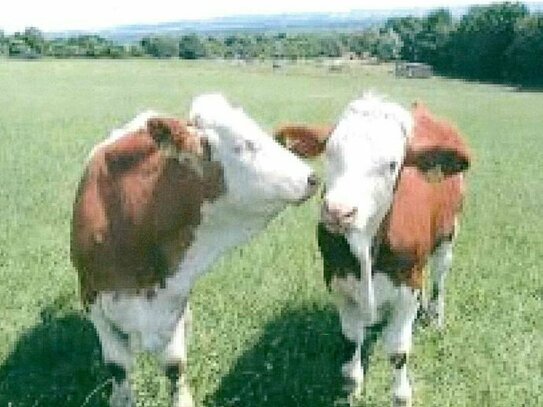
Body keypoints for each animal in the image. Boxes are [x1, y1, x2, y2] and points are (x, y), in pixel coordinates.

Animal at [70, 94, 320, 406]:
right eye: (243, 145)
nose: (312, 178)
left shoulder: (174, 298)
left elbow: (174, 366)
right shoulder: (91, 296)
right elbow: (118, 368)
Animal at [278, 95, 470, 404]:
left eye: (392, 164)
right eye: (330, 152)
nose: (338, 211)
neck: (366, 241)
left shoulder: (408, 287)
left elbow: (398, 351)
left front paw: (401, 396)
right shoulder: (338, 282)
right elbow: (351, 339)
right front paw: (353, 385)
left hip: (449, 233)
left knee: (440, 277)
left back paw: (436, 317)